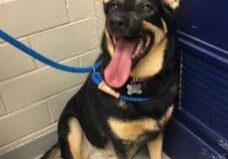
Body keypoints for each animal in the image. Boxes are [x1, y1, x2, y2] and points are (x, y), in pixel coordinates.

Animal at [41, 0, 180, 159]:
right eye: (114, 7)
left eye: (147, 7)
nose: (114, 21)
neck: (139, 81)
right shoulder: (120, 144)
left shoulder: (157, 134)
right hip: (71, 124)